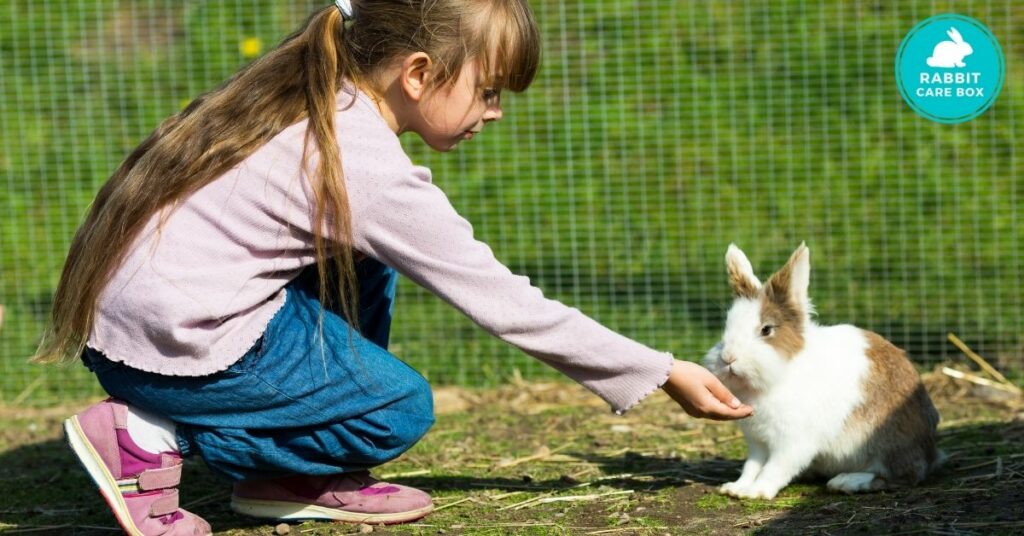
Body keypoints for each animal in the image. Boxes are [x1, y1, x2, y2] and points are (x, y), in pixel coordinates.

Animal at [704, 242, 942, 500]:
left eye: (766, 330)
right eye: (726, 328)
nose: (728, 358)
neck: (781, 373)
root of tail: (931, 451)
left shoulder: (792, 443)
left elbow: (774, 468)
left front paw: (756, 492)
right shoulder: (757, 443)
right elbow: (752, 466)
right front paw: (736, 488)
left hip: (887, 444)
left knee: (899, 476)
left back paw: (847, 482)